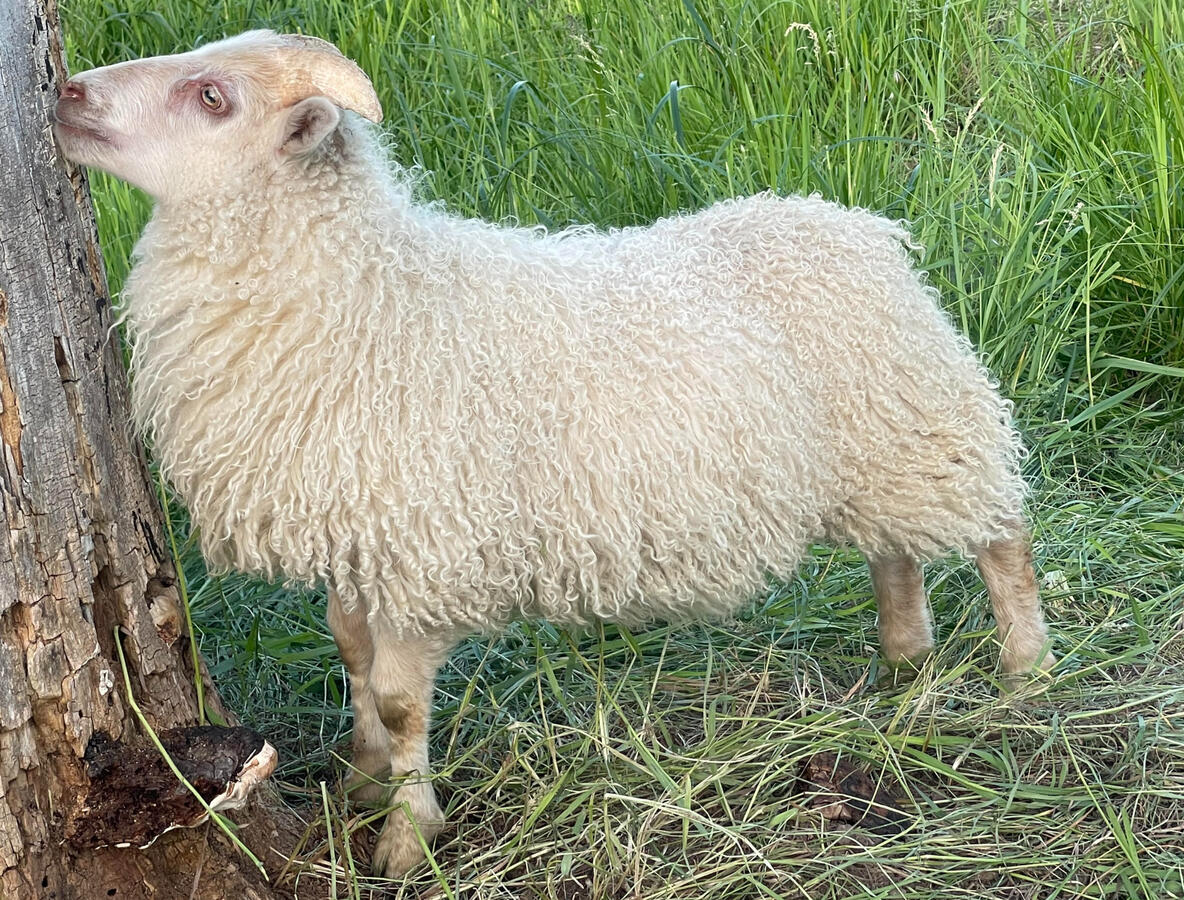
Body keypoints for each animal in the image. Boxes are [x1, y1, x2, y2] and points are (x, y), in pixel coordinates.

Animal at [54, 29, 1056, 876]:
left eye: (212, 97)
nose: (65, 93)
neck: (371, 291)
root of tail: (863, 230)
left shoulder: (425, 552)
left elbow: (399, 699)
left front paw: (406, 838)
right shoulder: (360, 533)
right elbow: (350, 655)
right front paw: (365, 778)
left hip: (922, 426)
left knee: (1002, 537)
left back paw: (1026, 673)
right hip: (879, 452)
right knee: (896, 553)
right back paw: (904, 658)